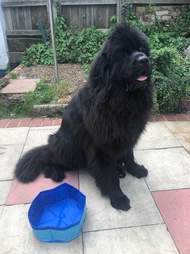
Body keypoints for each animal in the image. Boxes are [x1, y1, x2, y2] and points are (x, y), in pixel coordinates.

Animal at [14, 24, 153, 210]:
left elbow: (129, 155)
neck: (122, 99)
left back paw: (120, 169)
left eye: (142, 49)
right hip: (67, 147)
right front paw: (118, 197)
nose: (144, 60)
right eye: (123, 53)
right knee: (49, 159)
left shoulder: (128, 134)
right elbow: (107, 173)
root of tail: (50, 144)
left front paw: (135, 169)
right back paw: (56, 172)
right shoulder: (100, 143)